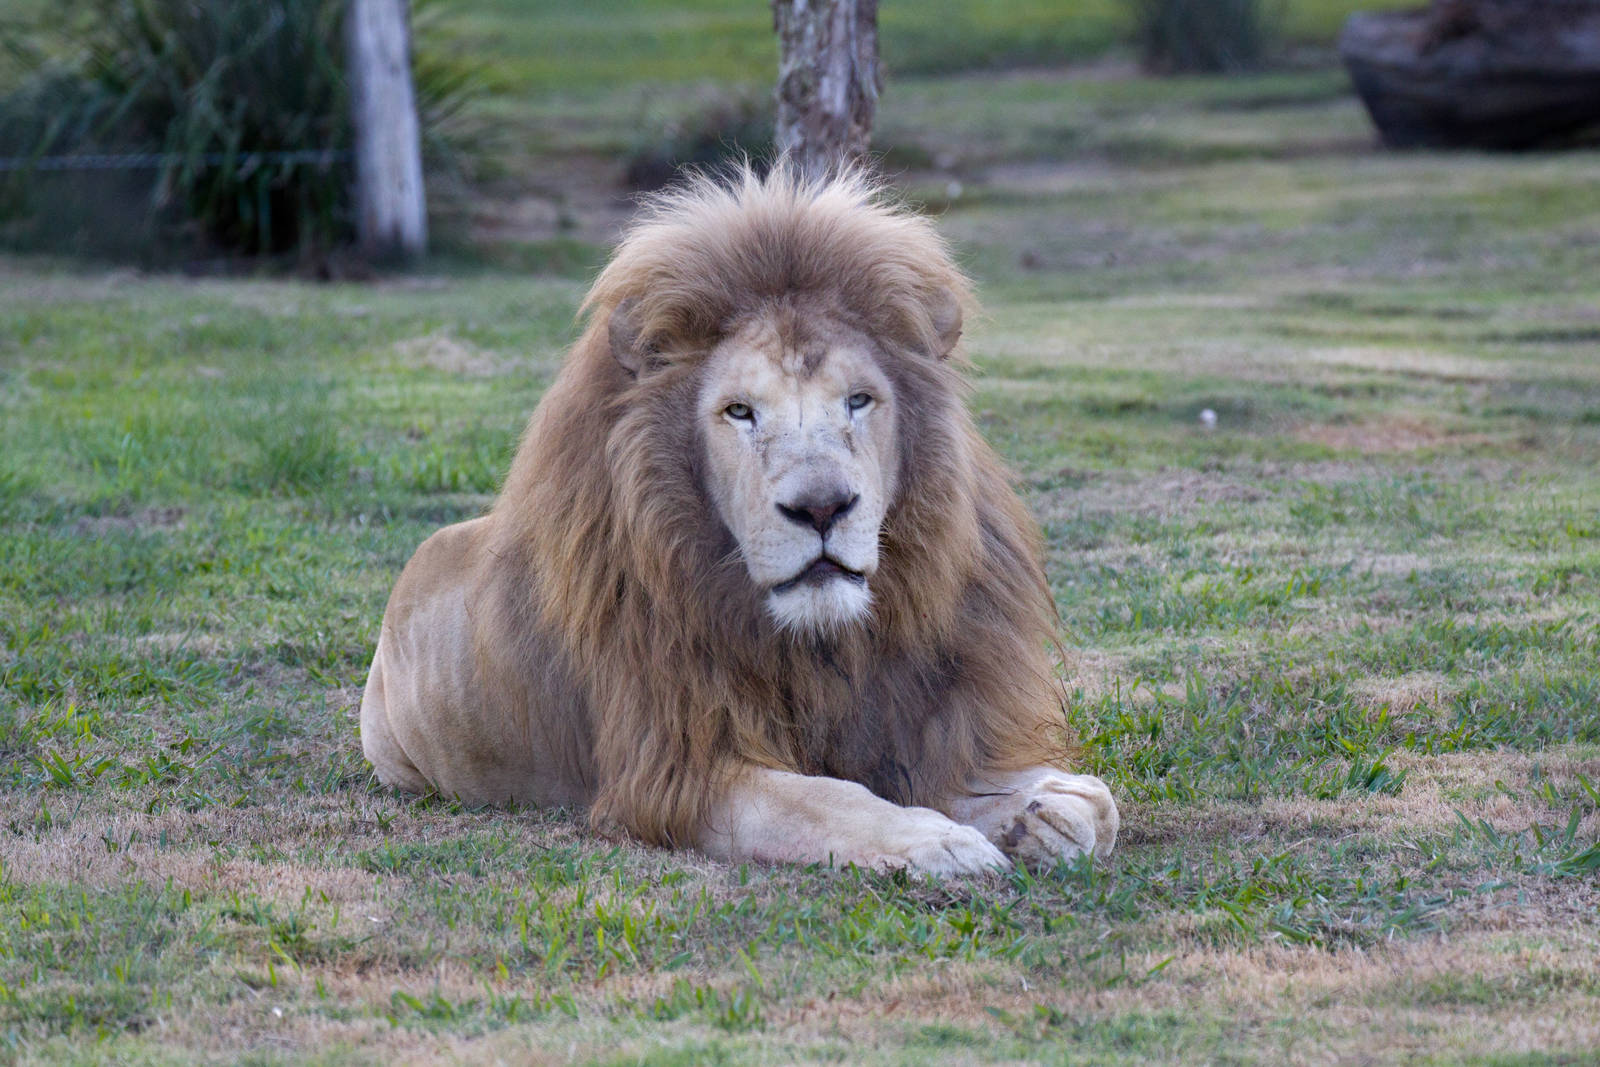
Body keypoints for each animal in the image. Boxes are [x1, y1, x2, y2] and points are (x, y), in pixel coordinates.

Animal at [359, 166, 1119, 876]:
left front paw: (1042, 808)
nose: (821, 507)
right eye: (739, 411)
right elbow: (828, 799)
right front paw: (941, 842)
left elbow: (1095, 803)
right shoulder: (677, 769)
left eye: (859, 400)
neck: (822, 647)